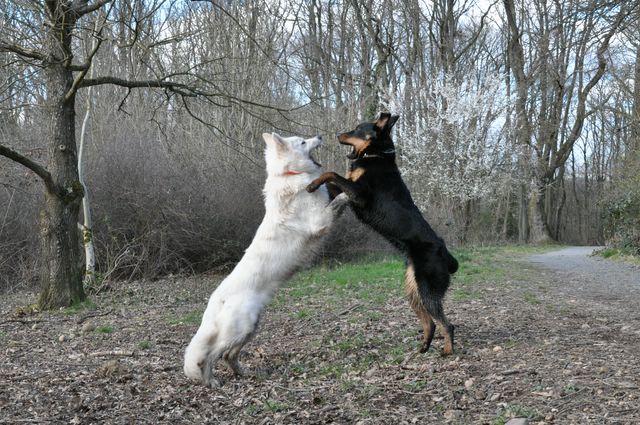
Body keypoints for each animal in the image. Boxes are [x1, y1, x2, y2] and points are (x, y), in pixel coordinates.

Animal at [182, 132, 348, 384]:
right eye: (302, 141)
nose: (320, 135)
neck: (290, 174)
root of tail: (216, 301)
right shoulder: (320, 221)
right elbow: (340, 199)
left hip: (252, 326)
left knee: (228, 354)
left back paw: (243, 373)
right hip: (242, 327)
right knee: (211, 354)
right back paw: (210, 381)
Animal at [308, 112, 458, 354]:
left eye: (357, 128)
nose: (338, 134)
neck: (377, 155)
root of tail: (445, 252)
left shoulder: (359, 194)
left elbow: (331, 173)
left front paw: (311, 184)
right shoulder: (346, 191)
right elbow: (331, 179)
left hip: (428, 289)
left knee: (447, 324)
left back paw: (447, 351)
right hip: (413, 291)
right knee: (430, 323)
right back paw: (423, 348)